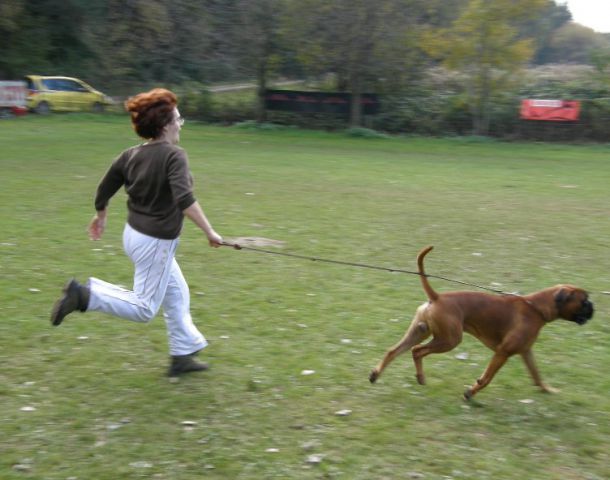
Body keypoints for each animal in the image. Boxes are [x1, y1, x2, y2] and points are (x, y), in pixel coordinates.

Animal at [368, 246, 592, 400]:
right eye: (583, 301)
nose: (593, 307)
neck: (535, 307)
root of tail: (437, 297)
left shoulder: (526, 352)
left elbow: (536, 375)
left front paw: (548, 390)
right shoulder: (502, 352)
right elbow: (486, 379)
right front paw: (470, 393)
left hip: (419, 331)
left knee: (393, 351)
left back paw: (376, 375)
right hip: (449, 340)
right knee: (417, 351)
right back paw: (419, 377)